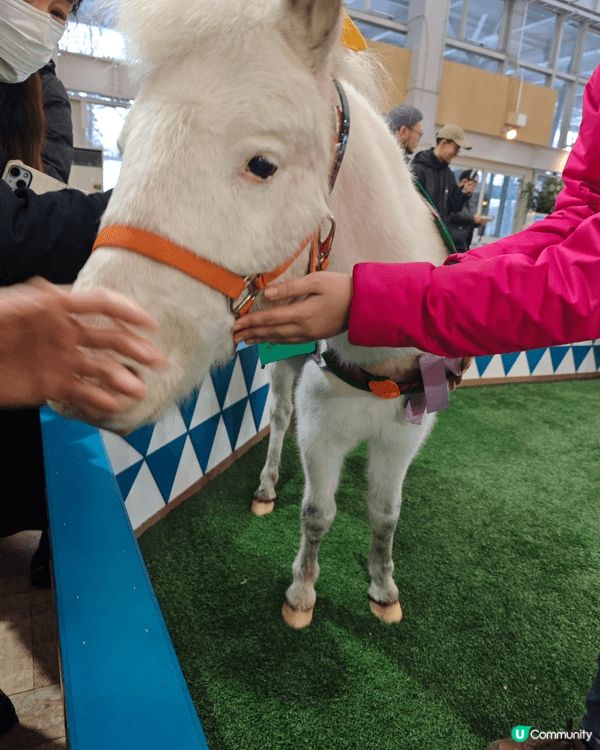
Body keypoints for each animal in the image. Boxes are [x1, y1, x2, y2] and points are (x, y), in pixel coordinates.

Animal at [64, 0, 453, 628]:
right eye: (127, 143)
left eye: (263, 164)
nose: (85, 364)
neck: (377, 356)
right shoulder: (322, 426)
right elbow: (317, 511)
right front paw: (302, 592)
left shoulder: (405, 434)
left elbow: (385, 514)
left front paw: (382, 586)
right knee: (277, 418)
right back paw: (268, 486)